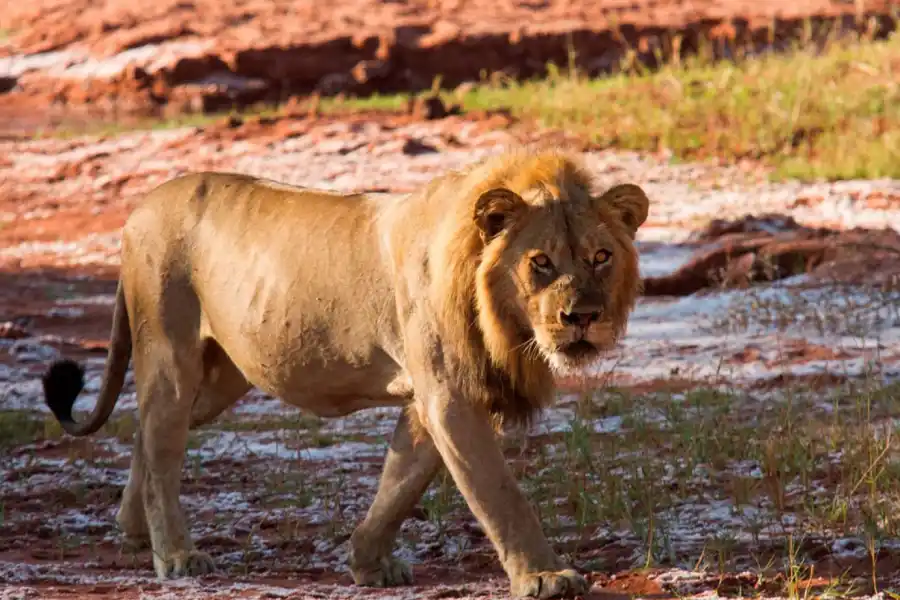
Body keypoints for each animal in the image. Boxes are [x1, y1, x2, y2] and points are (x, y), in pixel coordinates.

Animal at [42, 148, 649, 599]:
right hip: (171, 352)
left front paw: (367, 563)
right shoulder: (451, 395)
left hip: (221, 376)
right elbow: (499, 494)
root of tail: (138, 210)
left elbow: (400, 483)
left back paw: (132, 530)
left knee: (146, 432)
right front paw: (544, 576)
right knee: (162, 442)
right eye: (540, 262)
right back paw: (175, 554)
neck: (505, 325)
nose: (582, 317)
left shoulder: (428, 401)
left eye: (600, 257)